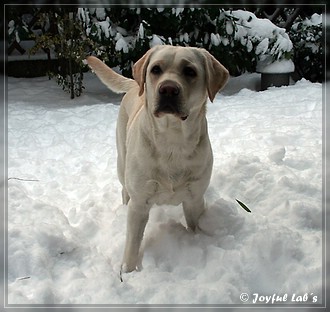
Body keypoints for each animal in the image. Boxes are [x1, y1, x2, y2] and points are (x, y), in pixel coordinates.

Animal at [86, 45, 228, 274]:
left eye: (190, 71)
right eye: (156, 69)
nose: (168, 89)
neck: (172, 141)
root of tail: (134, 84)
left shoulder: (195, 199)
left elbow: (195, 225)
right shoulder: (139, 204)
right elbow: (132, 243)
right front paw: (127, 272)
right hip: (122, 162)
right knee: (124, 190)